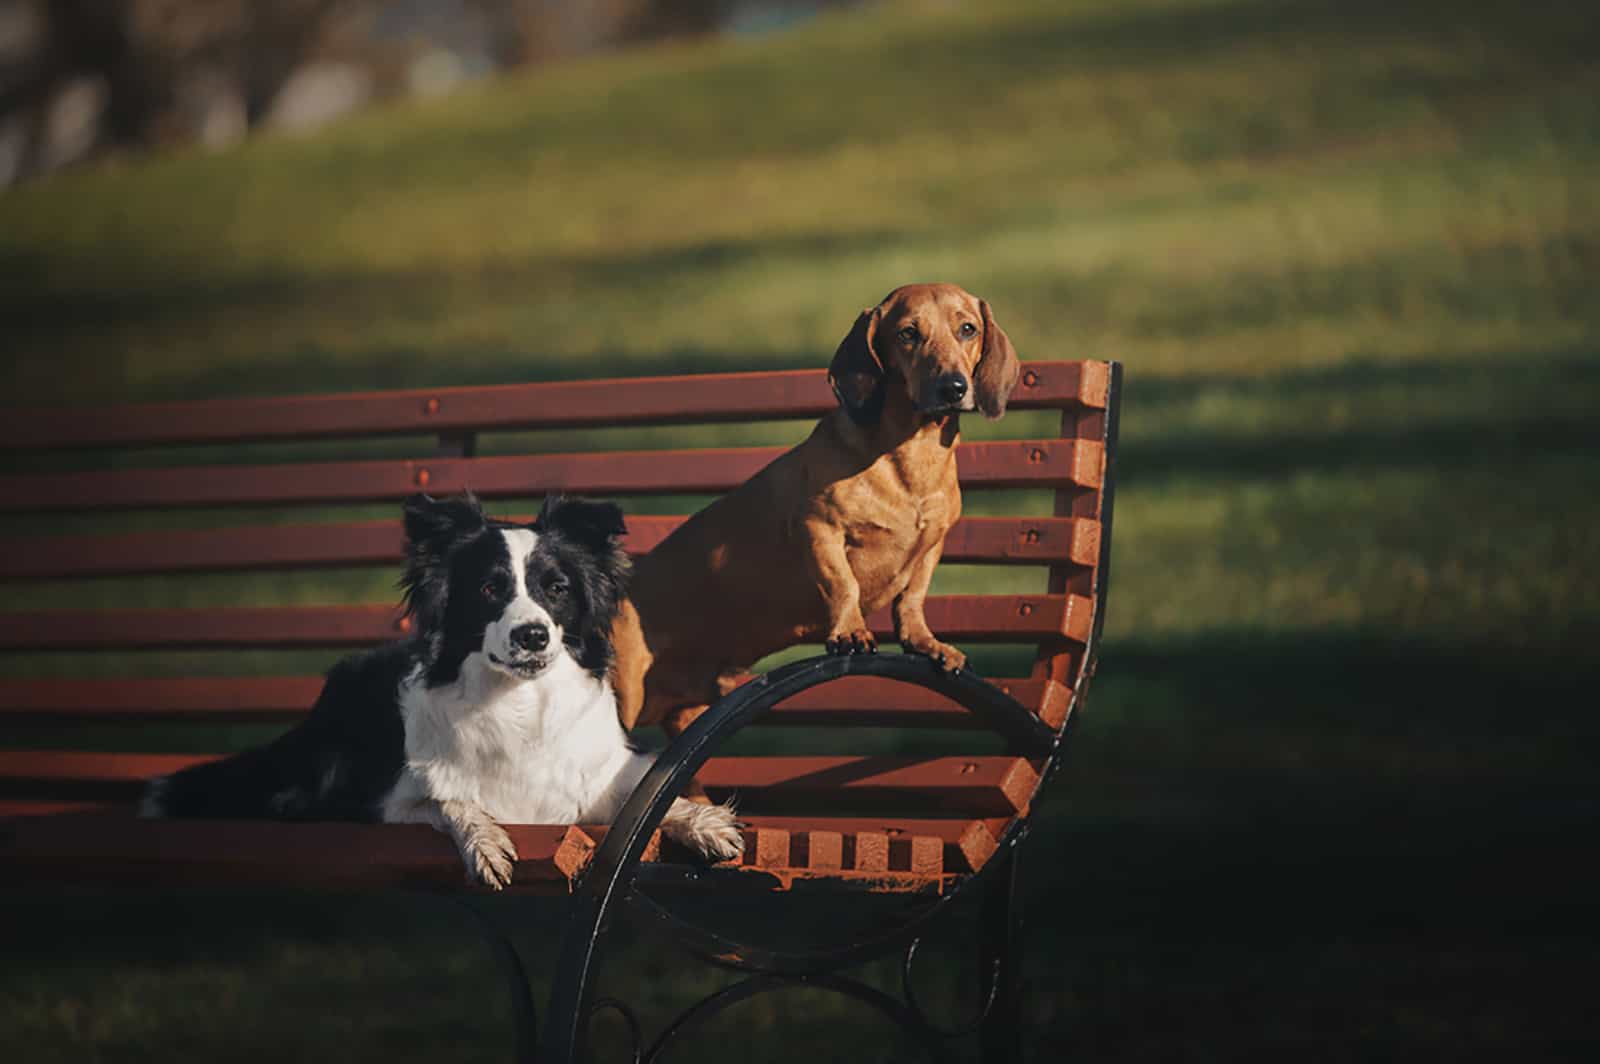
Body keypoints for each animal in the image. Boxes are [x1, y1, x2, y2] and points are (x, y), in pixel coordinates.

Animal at [144, 492, 742, 889]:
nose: (532, 635)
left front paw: (704, 822)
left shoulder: (598, 774)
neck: (519, 702)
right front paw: (486, 843)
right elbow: (449, 796)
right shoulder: (386, 801)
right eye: (489, 589)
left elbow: (650, 792)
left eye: (557, 588)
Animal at [611, 281, 1024, 729]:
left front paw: (924, 642)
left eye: (967, 329)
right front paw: (850, 631)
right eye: (908, 334)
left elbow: (912, 597)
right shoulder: (820, 530)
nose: (953, 388)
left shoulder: (934, 544)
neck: (910, 459)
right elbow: (844, 584)